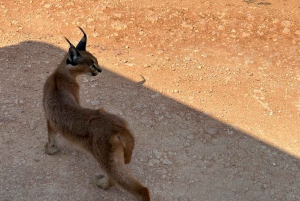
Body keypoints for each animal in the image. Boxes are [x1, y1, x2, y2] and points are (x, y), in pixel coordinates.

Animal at [42, 27, 150, 201]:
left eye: (96, 62)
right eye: (92, 64)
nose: (100, 70)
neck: (60, 74)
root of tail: (117, 125)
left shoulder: (48, 117)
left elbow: (51, 136)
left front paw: (50, 150)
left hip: (105, 157)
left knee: (132, 186)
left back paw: (102, 184)